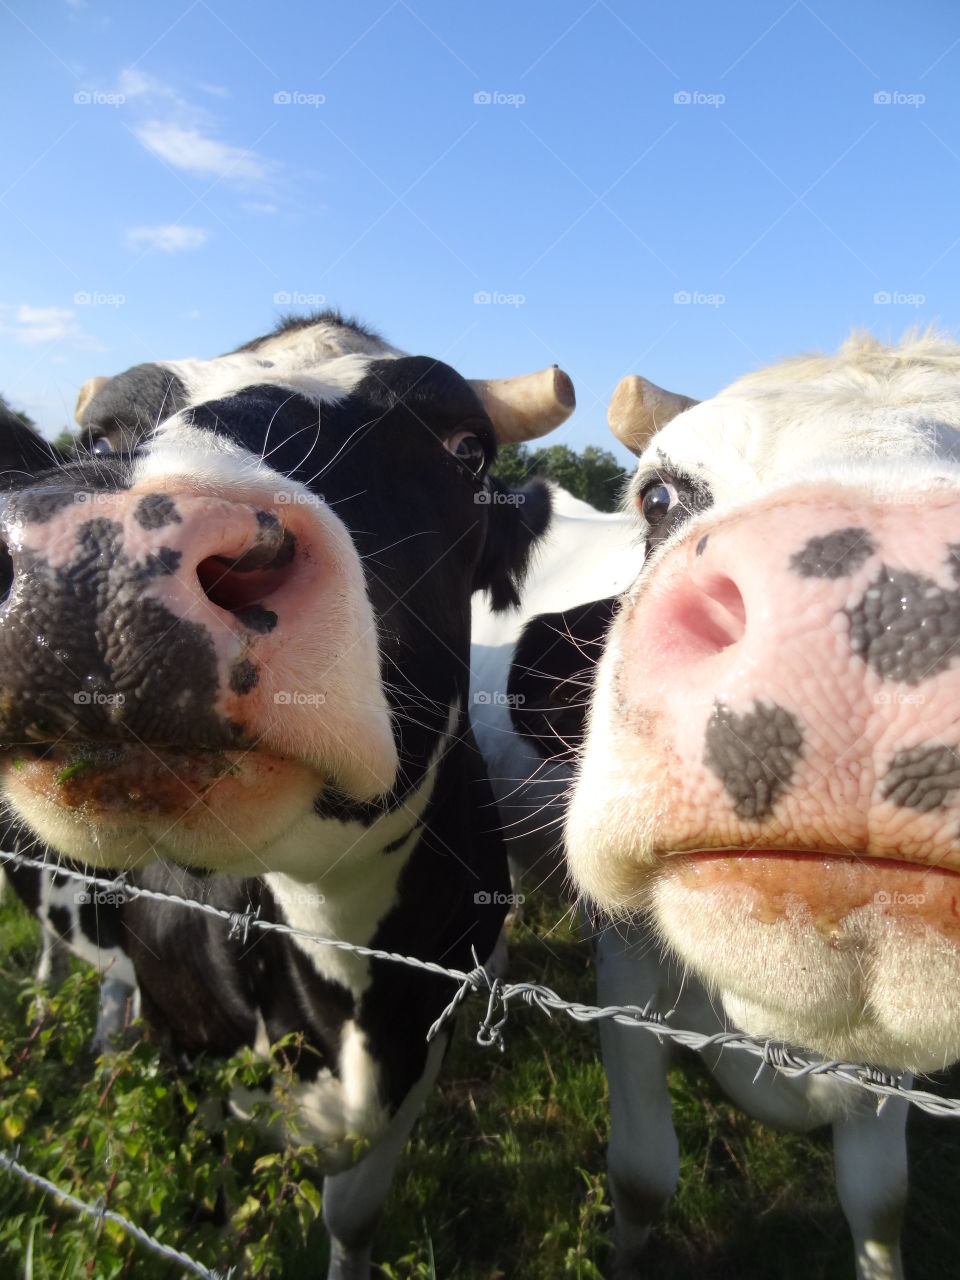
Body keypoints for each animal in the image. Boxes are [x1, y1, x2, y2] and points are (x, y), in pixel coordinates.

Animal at [0, 309, 573, 1279]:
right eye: (102, 437)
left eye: (465, 448)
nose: (110, 546)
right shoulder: (184, 1043)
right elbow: (212, 1202)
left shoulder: (421, 1044)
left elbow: (352, 1217)